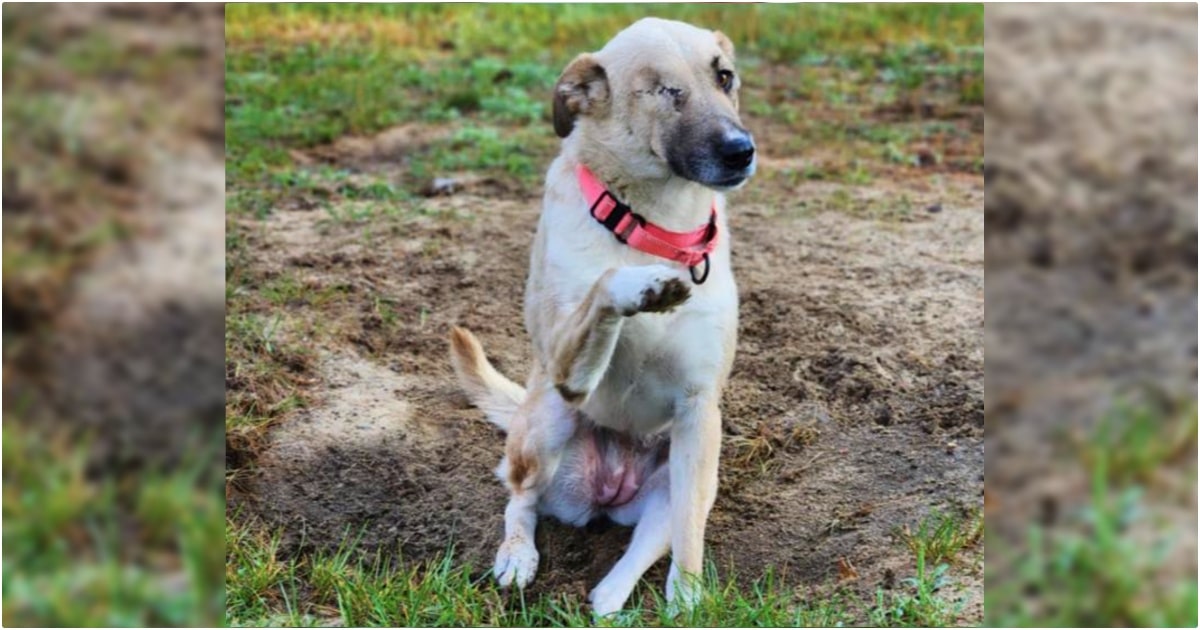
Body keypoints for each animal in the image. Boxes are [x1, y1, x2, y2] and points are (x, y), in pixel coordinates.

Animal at [446, 19, 753, 614]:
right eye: (664, 90)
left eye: (724, 77)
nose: (741, 151)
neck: (657, 228)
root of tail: (607, 491)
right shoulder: (569, 368)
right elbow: (605, 284)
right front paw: (642, 285)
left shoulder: (700, 409)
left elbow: (688, 536)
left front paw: (687, 600)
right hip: (547, 422)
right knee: (519, 498)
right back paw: (517, 557)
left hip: (689, 469)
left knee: (646, 545)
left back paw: (608, 601)